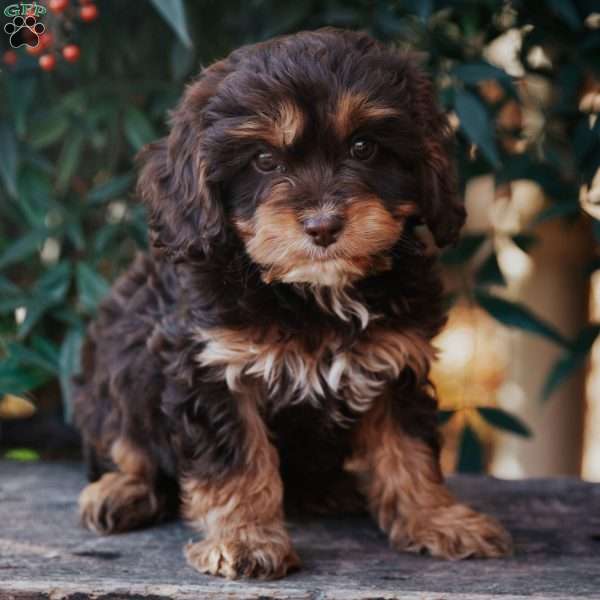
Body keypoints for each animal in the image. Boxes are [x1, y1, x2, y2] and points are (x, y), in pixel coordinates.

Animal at [74, 27, 510, 576]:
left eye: (364, 148)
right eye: (263, 161)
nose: (323, 225)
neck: (312, 293)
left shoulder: (396, 360)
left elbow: (408, 446)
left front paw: (436, 518)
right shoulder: (212, 366)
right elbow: (236, 458)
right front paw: (245, 539)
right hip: (117, 354)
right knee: (121, 434)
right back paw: (119, 490)